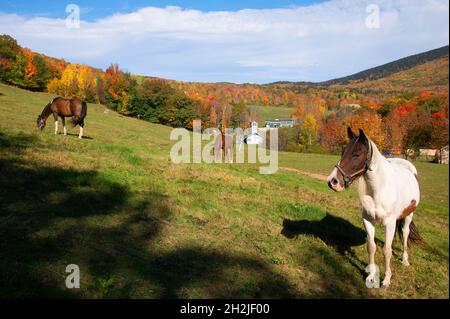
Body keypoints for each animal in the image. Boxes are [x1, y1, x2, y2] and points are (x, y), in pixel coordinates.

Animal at [326, 128, 422, 290]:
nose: (333, 181)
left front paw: (386, 280)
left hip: (409, 215)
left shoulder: (390, 224)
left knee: (405, 233)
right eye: (343, 151)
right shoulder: (368, 220)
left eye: (356, 154)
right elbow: (371, 247)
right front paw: (371, 276)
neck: (379, 189)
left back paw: (405, 260)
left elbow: (387, 251)